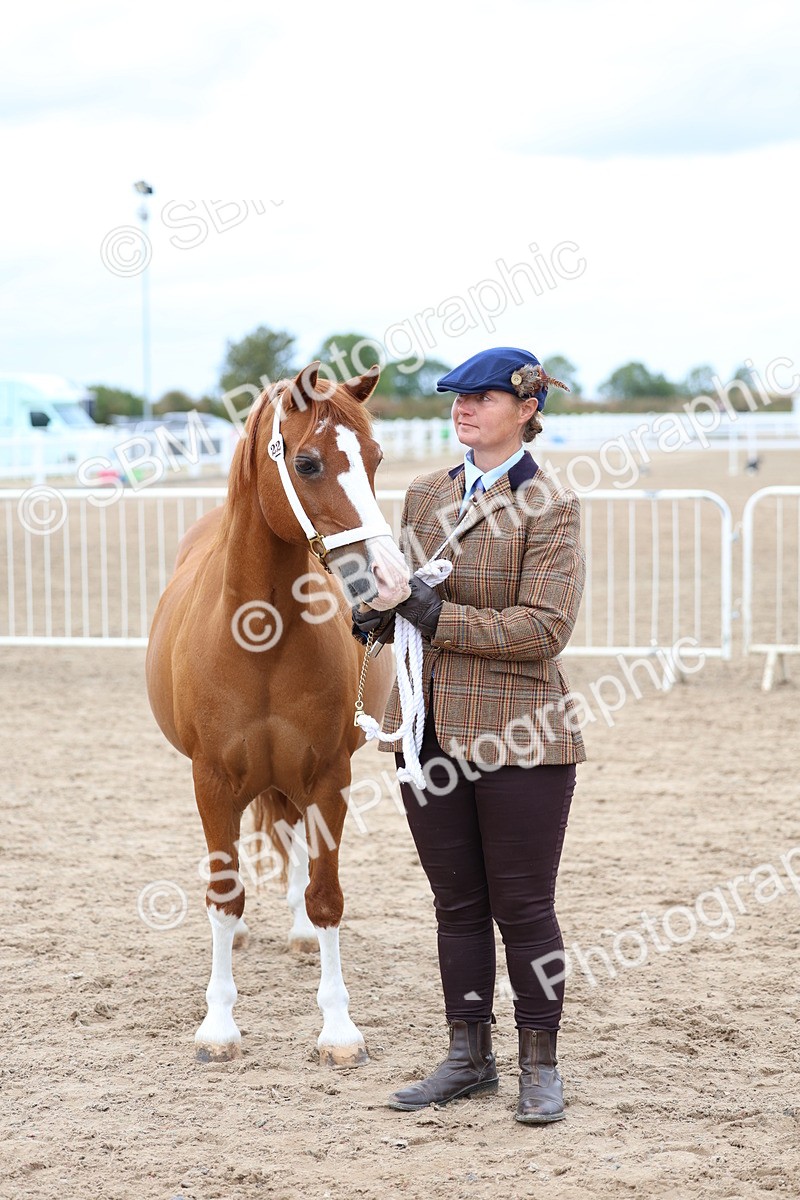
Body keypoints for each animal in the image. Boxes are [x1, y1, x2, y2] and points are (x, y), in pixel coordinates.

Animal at [145, 362, 410, 1066]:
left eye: (375, 458)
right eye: (309, 462)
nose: (392, 580)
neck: (257, 635)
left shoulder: (327, 778)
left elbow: (325, 896)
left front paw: (339, 1029)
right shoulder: (211, 782)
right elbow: (224, 892)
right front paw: (218, 1026)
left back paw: (295, 934)